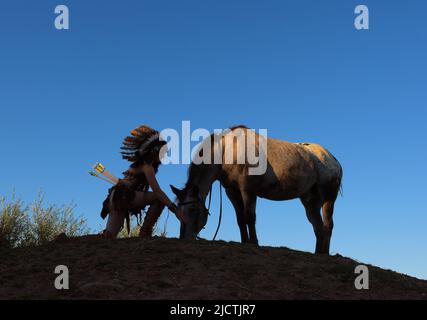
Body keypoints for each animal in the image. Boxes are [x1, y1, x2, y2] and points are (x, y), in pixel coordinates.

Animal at [171, 126, 342, 254]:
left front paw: (253, 242)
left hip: (329, 199)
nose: (184, 238)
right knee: (318, 227)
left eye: (192, 209)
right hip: (310, 202)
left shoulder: (248, 190)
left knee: (328, 225)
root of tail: (333, 159)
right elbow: (240, 219)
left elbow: (249, 217)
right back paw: (318, 253)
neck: (227, 151)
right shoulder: (232, 192)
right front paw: (244, 241)